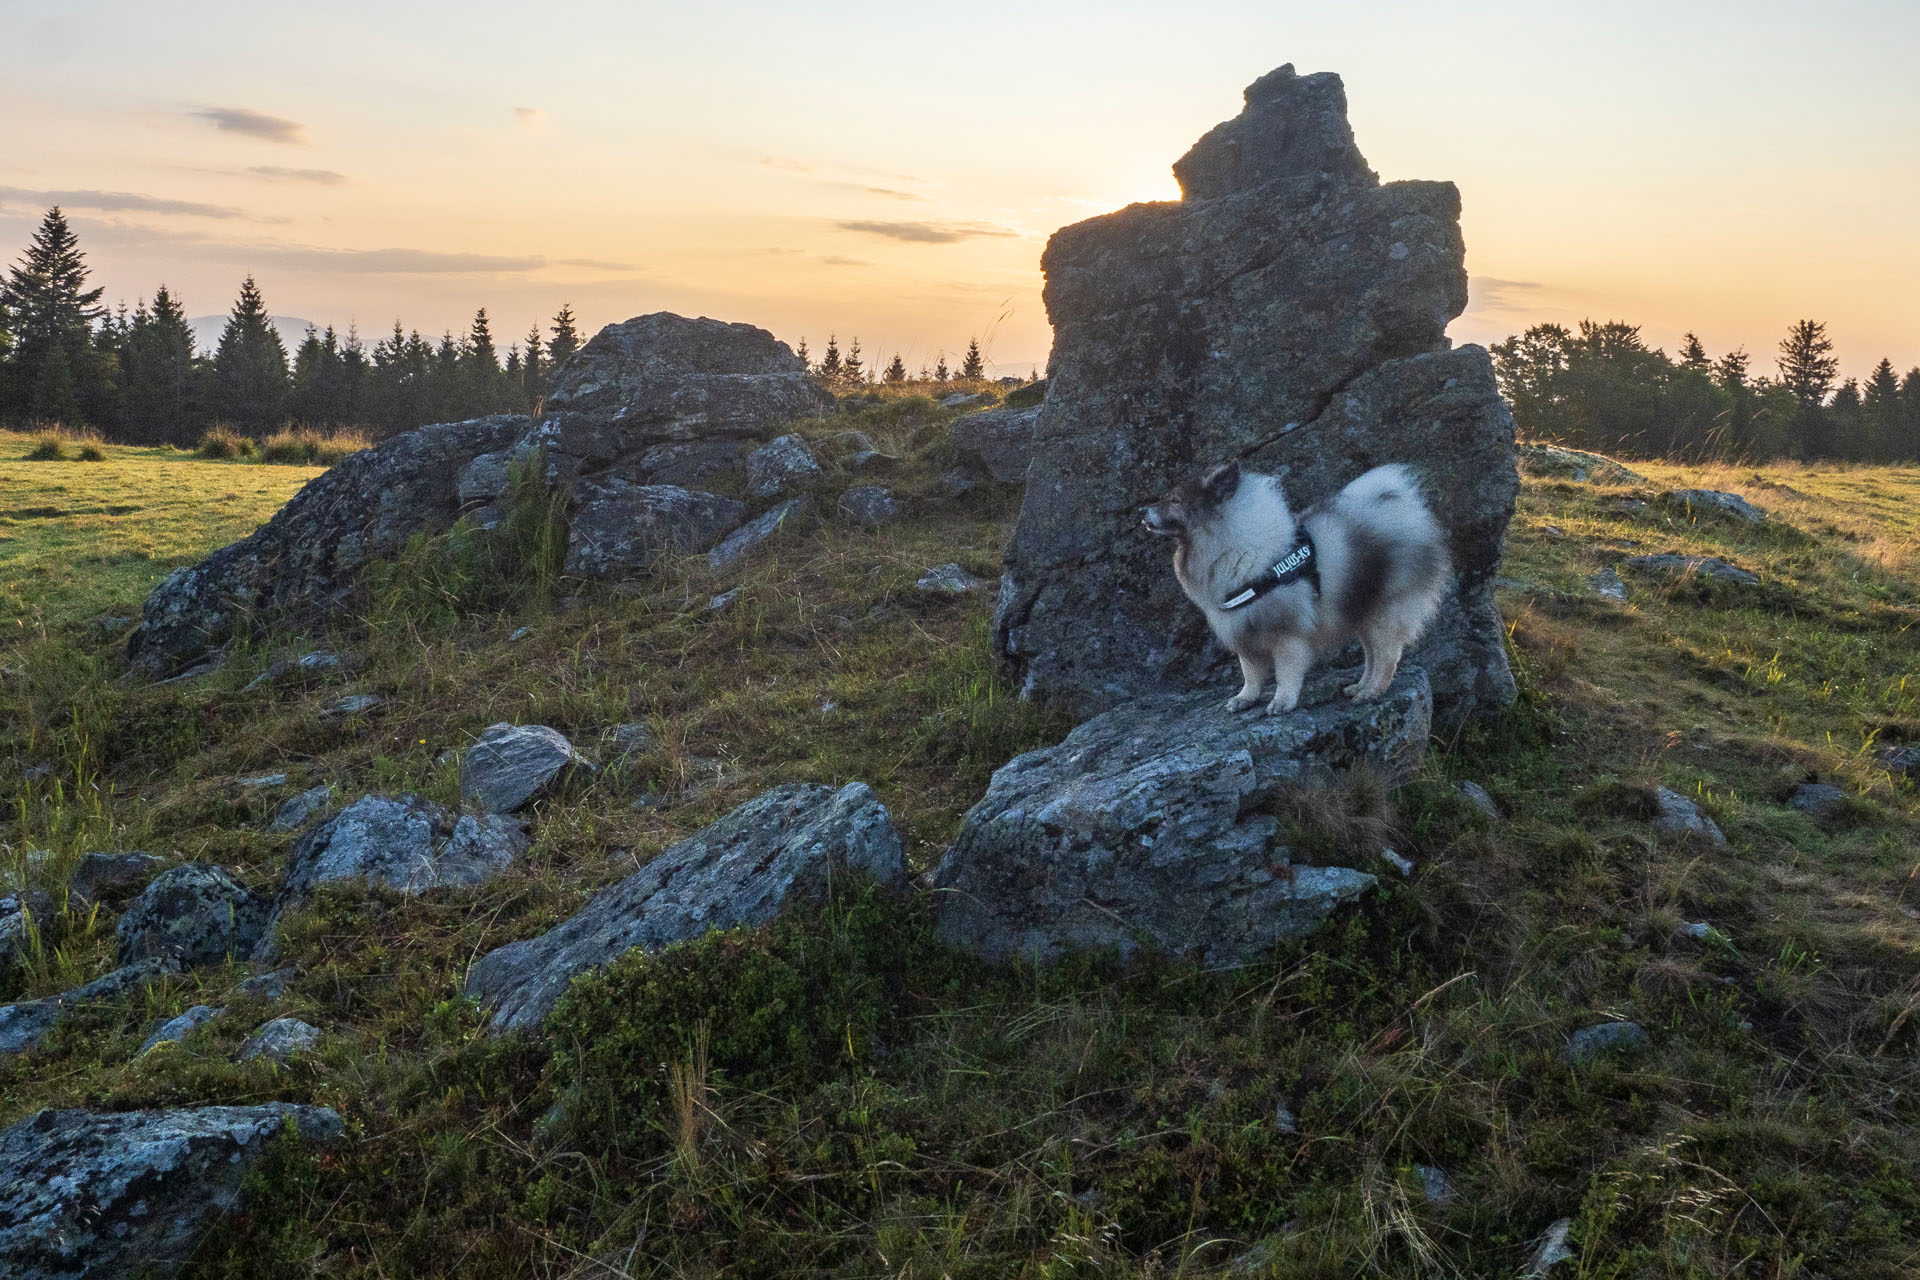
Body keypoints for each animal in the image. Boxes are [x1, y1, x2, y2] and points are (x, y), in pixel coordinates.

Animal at [1144, 460, 1443, 717]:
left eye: (1175, 500)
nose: (1141, 512)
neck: (1234, 548)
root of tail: (1404, 509)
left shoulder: (1287, 636)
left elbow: (1285, 674)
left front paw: (1282, 702)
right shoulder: (1244, 632)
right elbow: (1250, 674)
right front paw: (1245, 699)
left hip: (1384, 613)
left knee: (1386, 657)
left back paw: (1371, 693)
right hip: (1363, 614)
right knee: (1371, 656)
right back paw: (1359, 687)